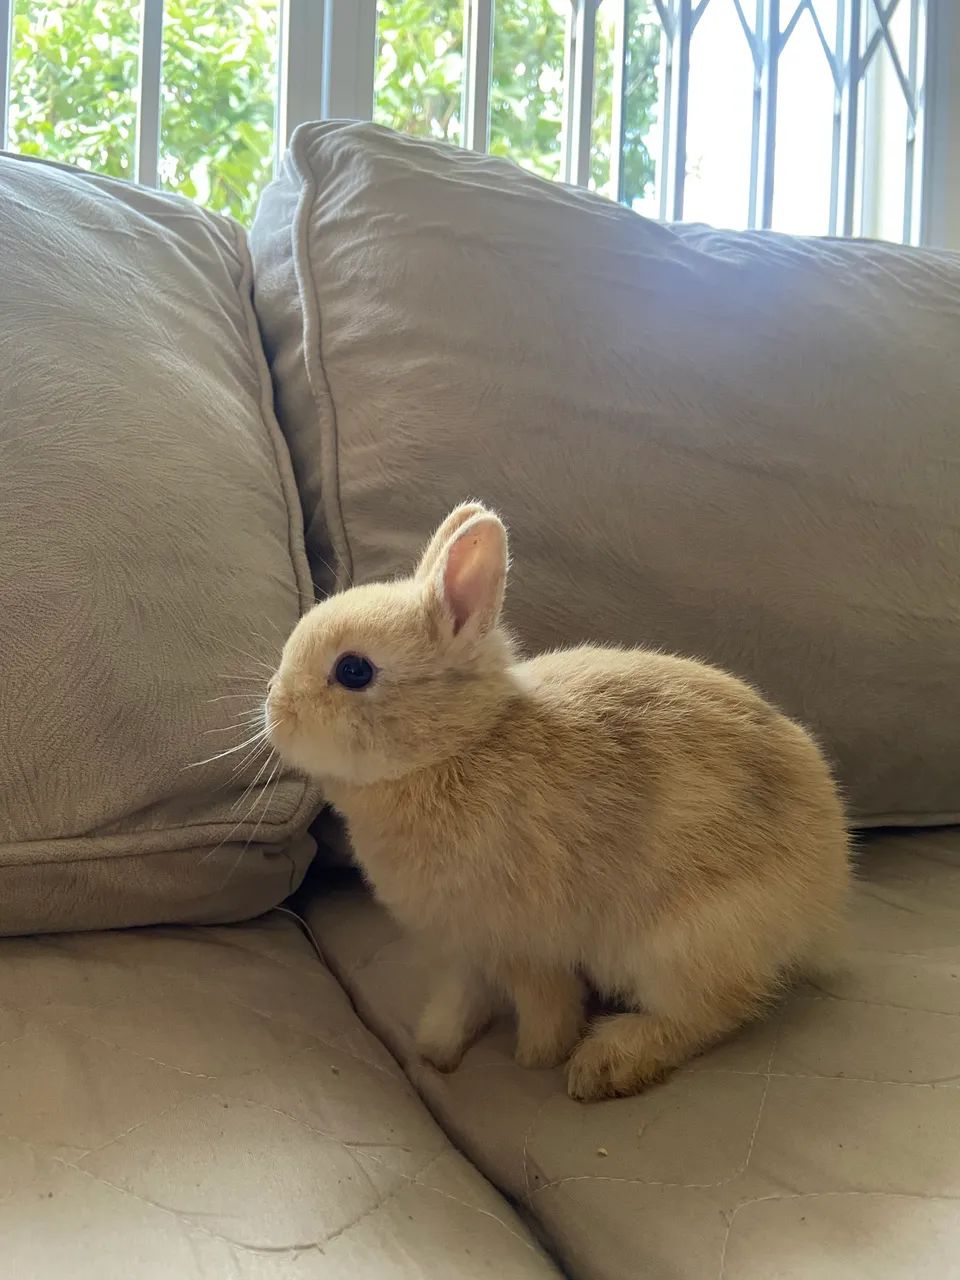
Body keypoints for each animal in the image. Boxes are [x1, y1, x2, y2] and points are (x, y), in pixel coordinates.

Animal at [266, 502, 850, 1100]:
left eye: (353, 671)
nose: (275, 711)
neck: (458, 748)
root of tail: (824, 903)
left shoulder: (524, 946)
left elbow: (546, 1001)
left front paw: (536, 1057)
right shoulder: (461, 947)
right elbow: (461, 998)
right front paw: (435, 1050)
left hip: (682, 944)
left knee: (710, 1012)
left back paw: (604, 1064)